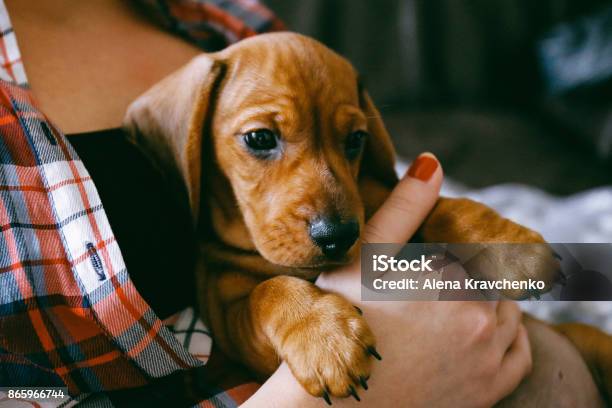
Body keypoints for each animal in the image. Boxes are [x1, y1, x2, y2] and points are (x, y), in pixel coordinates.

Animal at [124, 32, 612, 404]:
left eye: (355, 139)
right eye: (259, 138)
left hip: (590, 341)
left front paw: (507, 246)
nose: (337, 236)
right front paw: (324, 337)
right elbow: (270, 291)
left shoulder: (382, 199)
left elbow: (444, 205)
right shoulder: (230, 321)